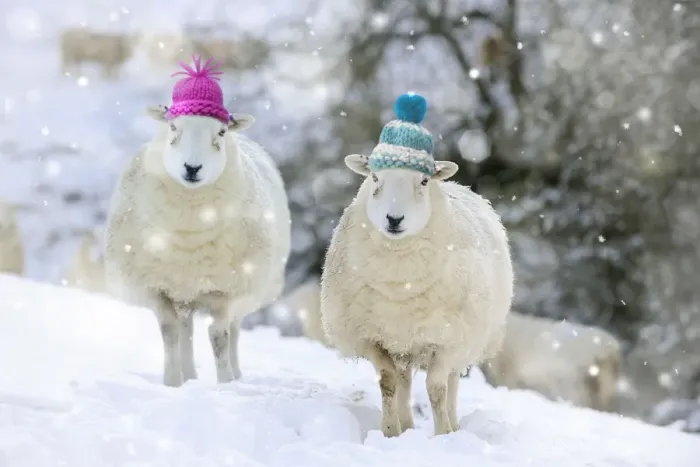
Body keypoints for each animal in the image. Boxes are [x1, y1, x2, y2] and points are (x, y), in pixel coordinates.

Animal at [104, 56, 291, 387]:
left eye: (221, 133)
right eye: (173, 127)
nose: (192, 168)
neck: (189, 228)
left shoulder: (224, 290)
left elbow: (219, 337)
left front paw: (226, 383)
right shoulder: (158, 288)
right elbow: (169, 333)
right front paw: (171, 383)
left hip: (244, 288)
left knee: (234, 330)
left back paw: (235, 375)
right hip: (184, 288)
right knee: (185, 329)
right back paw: (188, 377)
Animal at [320, 93, 514, 437]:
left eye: (423, 181)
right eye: (374, 178)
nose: (394, 219)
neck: (399, 279)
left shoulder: (447, 341)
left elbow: (437, 389)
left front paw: (443, 434)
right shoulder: (372, 337)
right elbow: (387, 382)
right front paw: (390, 432)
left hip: (464, 338)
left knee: (451, 383)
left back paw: (454, 425)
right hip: (403, 339)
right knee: (404, 379)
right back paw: (407, 425)